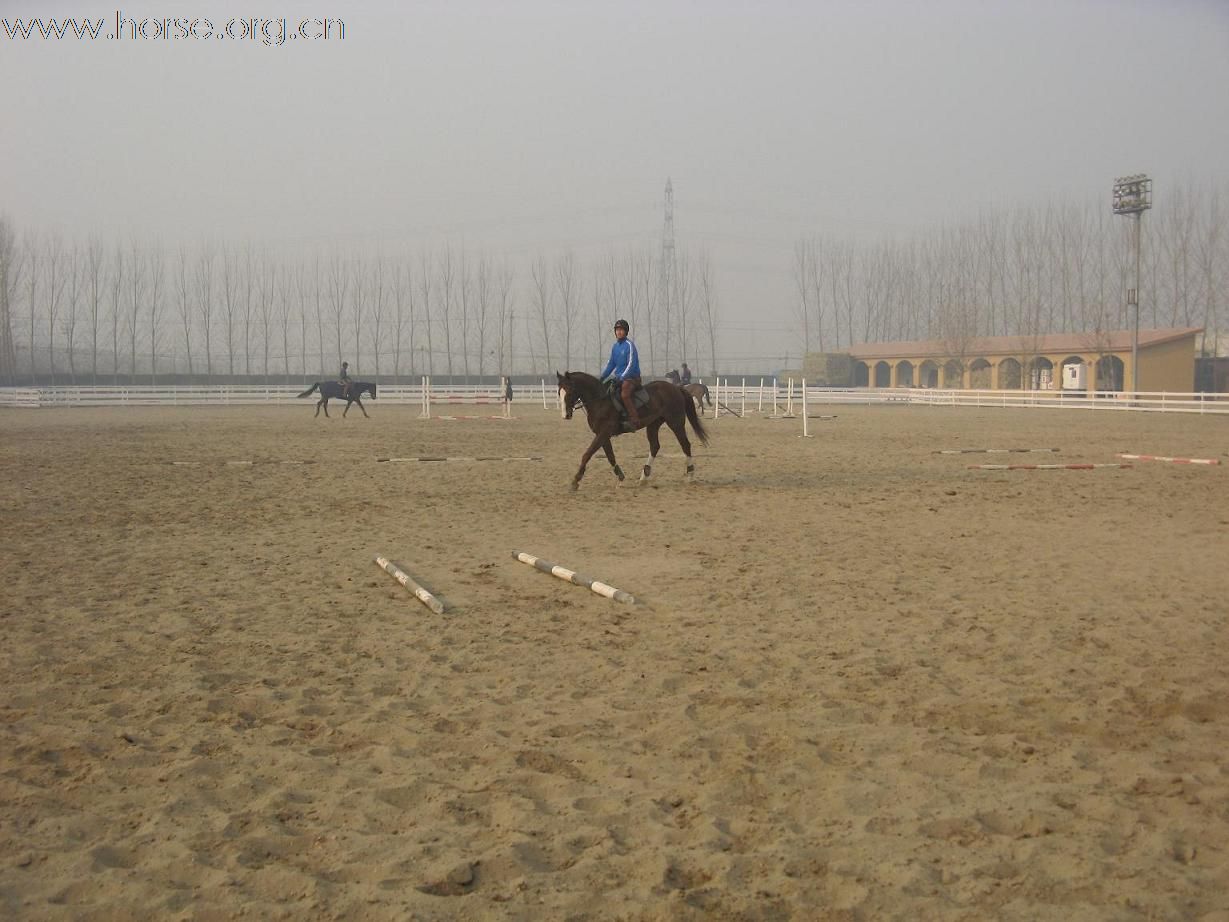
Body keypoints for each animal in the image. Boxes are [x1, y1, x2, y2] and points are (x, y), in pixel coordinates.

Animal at [557, 371, 712, 494]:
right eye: (559, 392)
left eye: (569, 391)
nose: (566, 415)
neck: (600, 401)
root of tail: (677, 388)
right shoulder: (602, 435)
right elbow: (610, 456)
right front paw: (620, 478)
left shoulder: (604, 433)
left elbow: (587, 454)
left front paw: (575, 481)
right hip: (653, 425)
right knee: (655, 446)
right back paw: (644, 477)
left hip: (675, 423)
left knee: (685, 445)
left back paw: (690, 475)